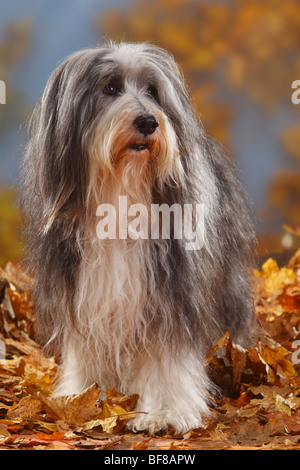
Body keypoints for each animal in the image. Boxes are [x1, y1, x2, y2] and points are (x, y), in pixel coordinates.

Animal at [20, 42, 255, 436]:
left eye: (153, 91)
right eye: (110, 88)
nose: (148, 122)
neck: (122, 193)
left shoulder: (172, 295)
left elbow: (167, 358)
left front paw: (165, 412)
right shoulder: (83, 292)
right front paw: (85, 399)